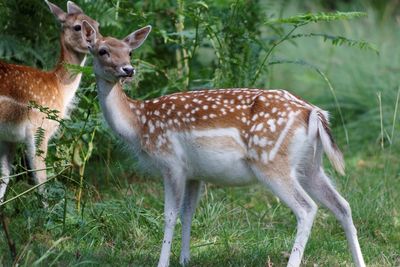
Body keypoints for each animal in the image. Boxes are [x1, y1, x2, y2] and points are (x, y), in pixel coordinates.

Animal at [0, 1, 99, 204]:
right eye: (78, 27)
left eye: (97, 25)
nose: (98, 43)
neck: (59, 88)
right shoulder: (39, 129)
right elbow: (41, 181)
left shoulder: (9, 137)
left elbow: (4, 178)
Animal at [82, 21, 366, 267]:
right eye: (103, 50)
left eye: (129, 51)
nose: (127, 70)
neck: (139, 124)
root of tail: (314, 113)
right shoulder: (194, 173)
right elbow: (187, 212)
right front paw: (185, 260)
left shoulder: (171, 163)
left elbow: (169, 216)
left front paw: (163, 263)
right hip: (310, 164)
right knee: (342, 205)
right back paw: (359, 262)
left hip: (272, 161)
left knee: (307, 209)